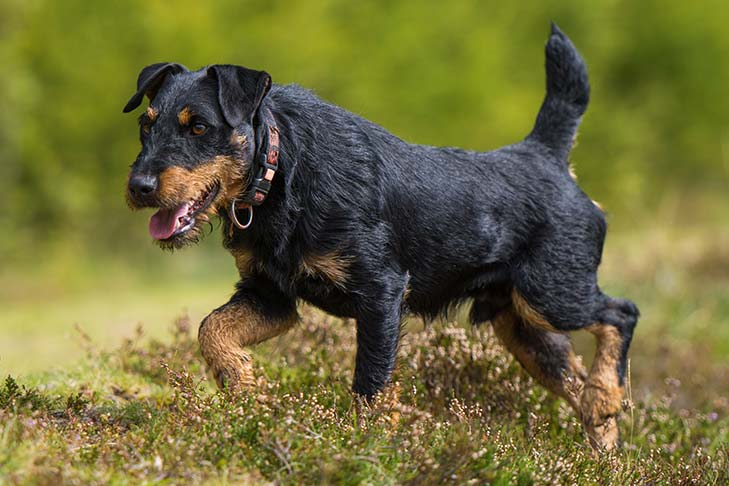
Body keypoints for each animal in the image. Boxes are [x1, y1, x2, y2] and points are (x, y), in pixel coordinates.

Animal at [125, 21, 636, 448]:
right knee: (573, 377)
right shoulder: (270, 295)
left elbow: (370, 383)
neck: (279, 171)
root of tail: (546, 155)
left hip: (553, 294)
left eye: (198, 126)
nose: (139, 186)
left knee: (621, 313)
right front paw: (245, 388)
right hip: (523, 327)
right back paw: (602, 441)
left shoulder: (380, 293)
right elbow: (212, 329)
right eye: (145, 126)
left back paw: (605, 396)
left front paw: (365, 447)